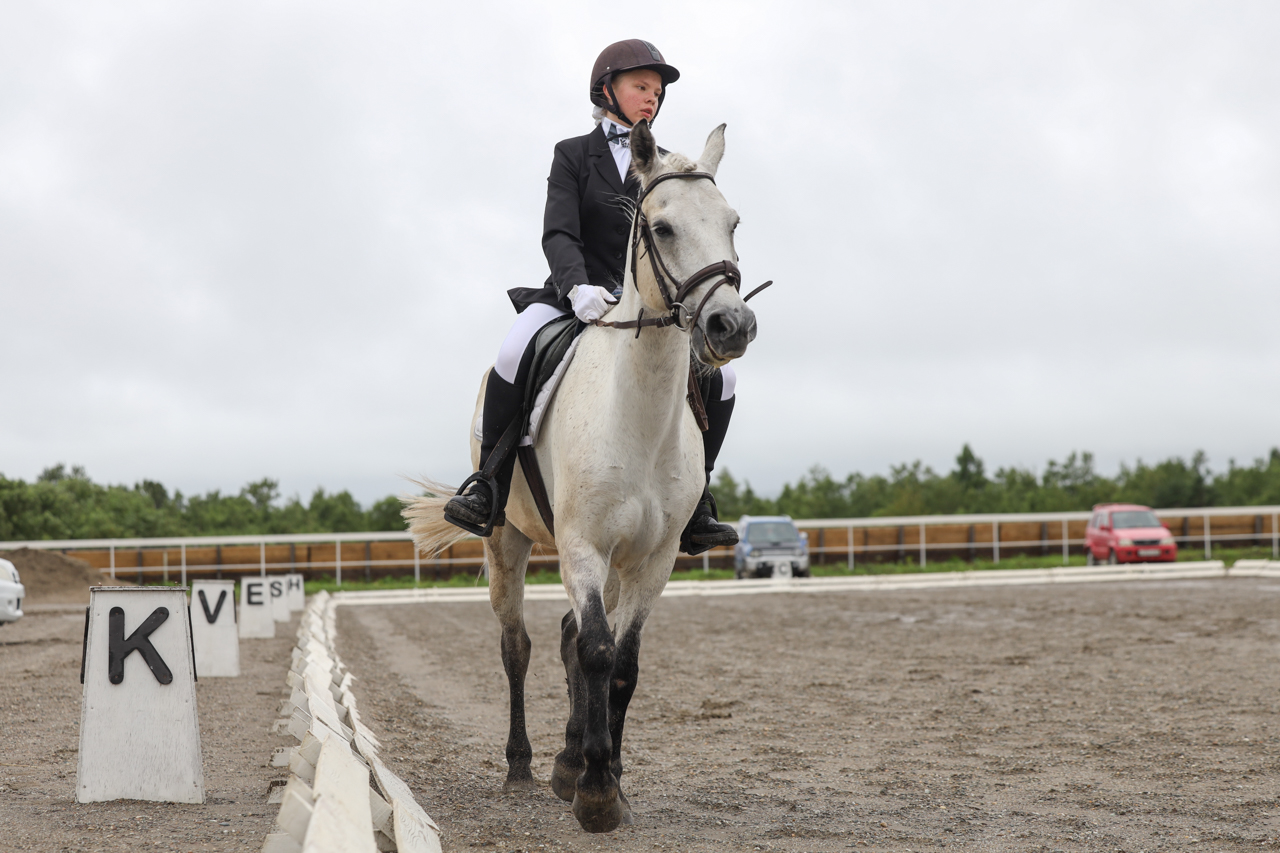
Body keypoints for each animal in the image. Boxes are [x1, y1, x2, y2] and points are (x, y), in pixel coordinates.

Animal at [404, 121, 752, 829]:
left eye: (733, 222)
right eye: (662, 227)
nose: (732, 325)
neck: (640, 415)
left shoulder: (653, 558)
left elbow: (621, 663)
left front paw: (607, 778)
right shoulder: (583, 544)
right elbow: (595, 651)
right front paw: (595, 795)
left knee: (572, 636)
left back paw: (569, 761)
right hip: (507, 542)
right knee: (519, 645)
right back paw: (524, 767)